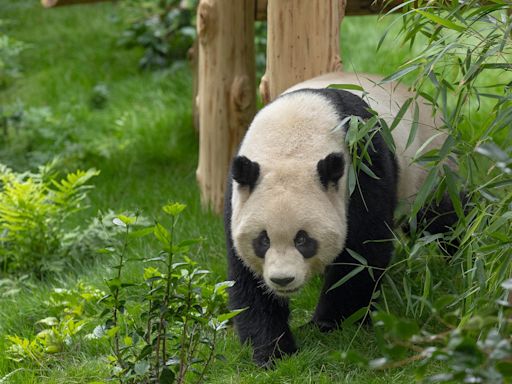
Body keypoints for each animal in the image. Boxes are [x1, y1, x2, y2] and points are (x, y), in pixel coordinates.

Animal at [224, 71, 456, 366]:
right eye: (262, 241)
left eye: (303, 240)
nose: (282, 280)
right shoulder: (238, 195)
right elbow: (246, 277)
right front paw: (272, 350)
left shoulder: (363, 163)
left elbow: (362, 253)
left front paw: (331, 324)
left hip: (428, 170)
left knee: (443, 217)